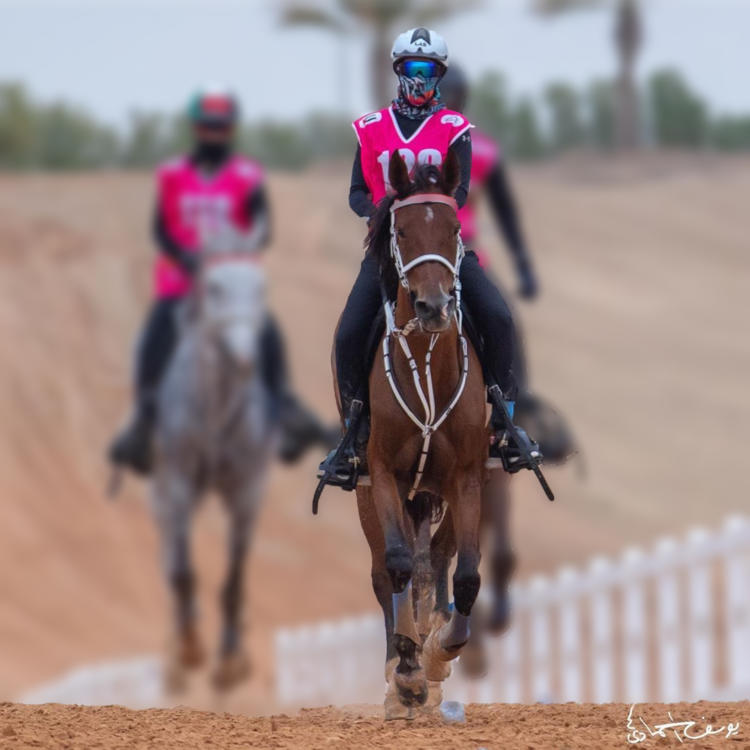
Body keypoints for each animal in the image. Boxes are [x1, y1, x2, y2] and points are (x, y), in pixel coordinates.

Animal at [150, 242, 277, 691]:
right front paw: (190, 648)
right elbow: (183, 570)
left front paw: (230, 662)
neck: (217, 412)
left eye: (261, 287)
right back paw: (177, 658)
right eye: (214, 287)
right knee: (170, 560)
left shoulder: (248, 491)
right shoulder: (180, 484)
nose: (245, 359)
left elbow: (234, 581)